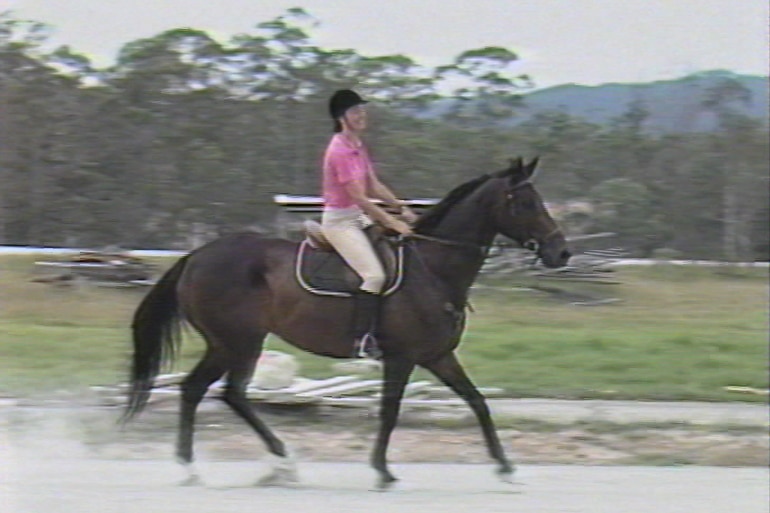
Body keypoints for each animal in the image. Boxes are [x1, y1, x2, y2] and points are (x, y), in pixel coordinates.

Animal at [123, 156, 568, 488]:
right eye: (526, 203)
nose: (561, 252)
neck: (433, 268)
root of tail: (197, 256)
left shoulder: (438, 356)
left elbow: (478, 402)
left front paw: (505, 467)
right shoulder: (401, 358)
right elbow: (390, 410)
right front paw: (382, 471)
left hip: (232, 344)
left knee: (212, 392)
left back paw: (249, 464)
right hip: (237, 342)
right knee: (216, 391)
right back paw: (231, 465)